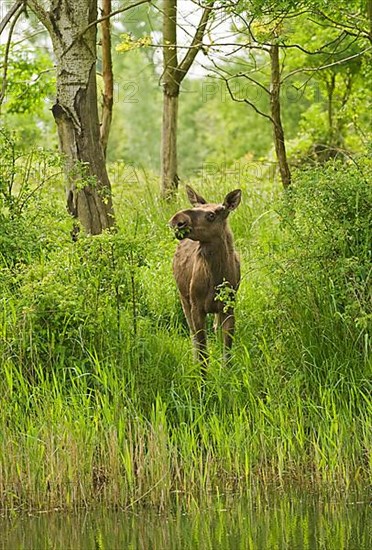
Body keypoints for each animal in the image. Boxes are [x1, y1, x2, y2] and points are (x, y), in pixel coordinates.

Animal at [169, 187, 241, 366]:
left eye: (211, 215)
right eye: (195, 207)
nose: (177, 220)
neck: (216, 278)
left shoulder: (228, 306)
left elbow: (226, 350)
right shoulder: (197, 307)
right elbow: (203, 352)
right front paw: (201, 372)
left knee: (215, 328)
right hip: (183, 298)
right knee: (192, 333)